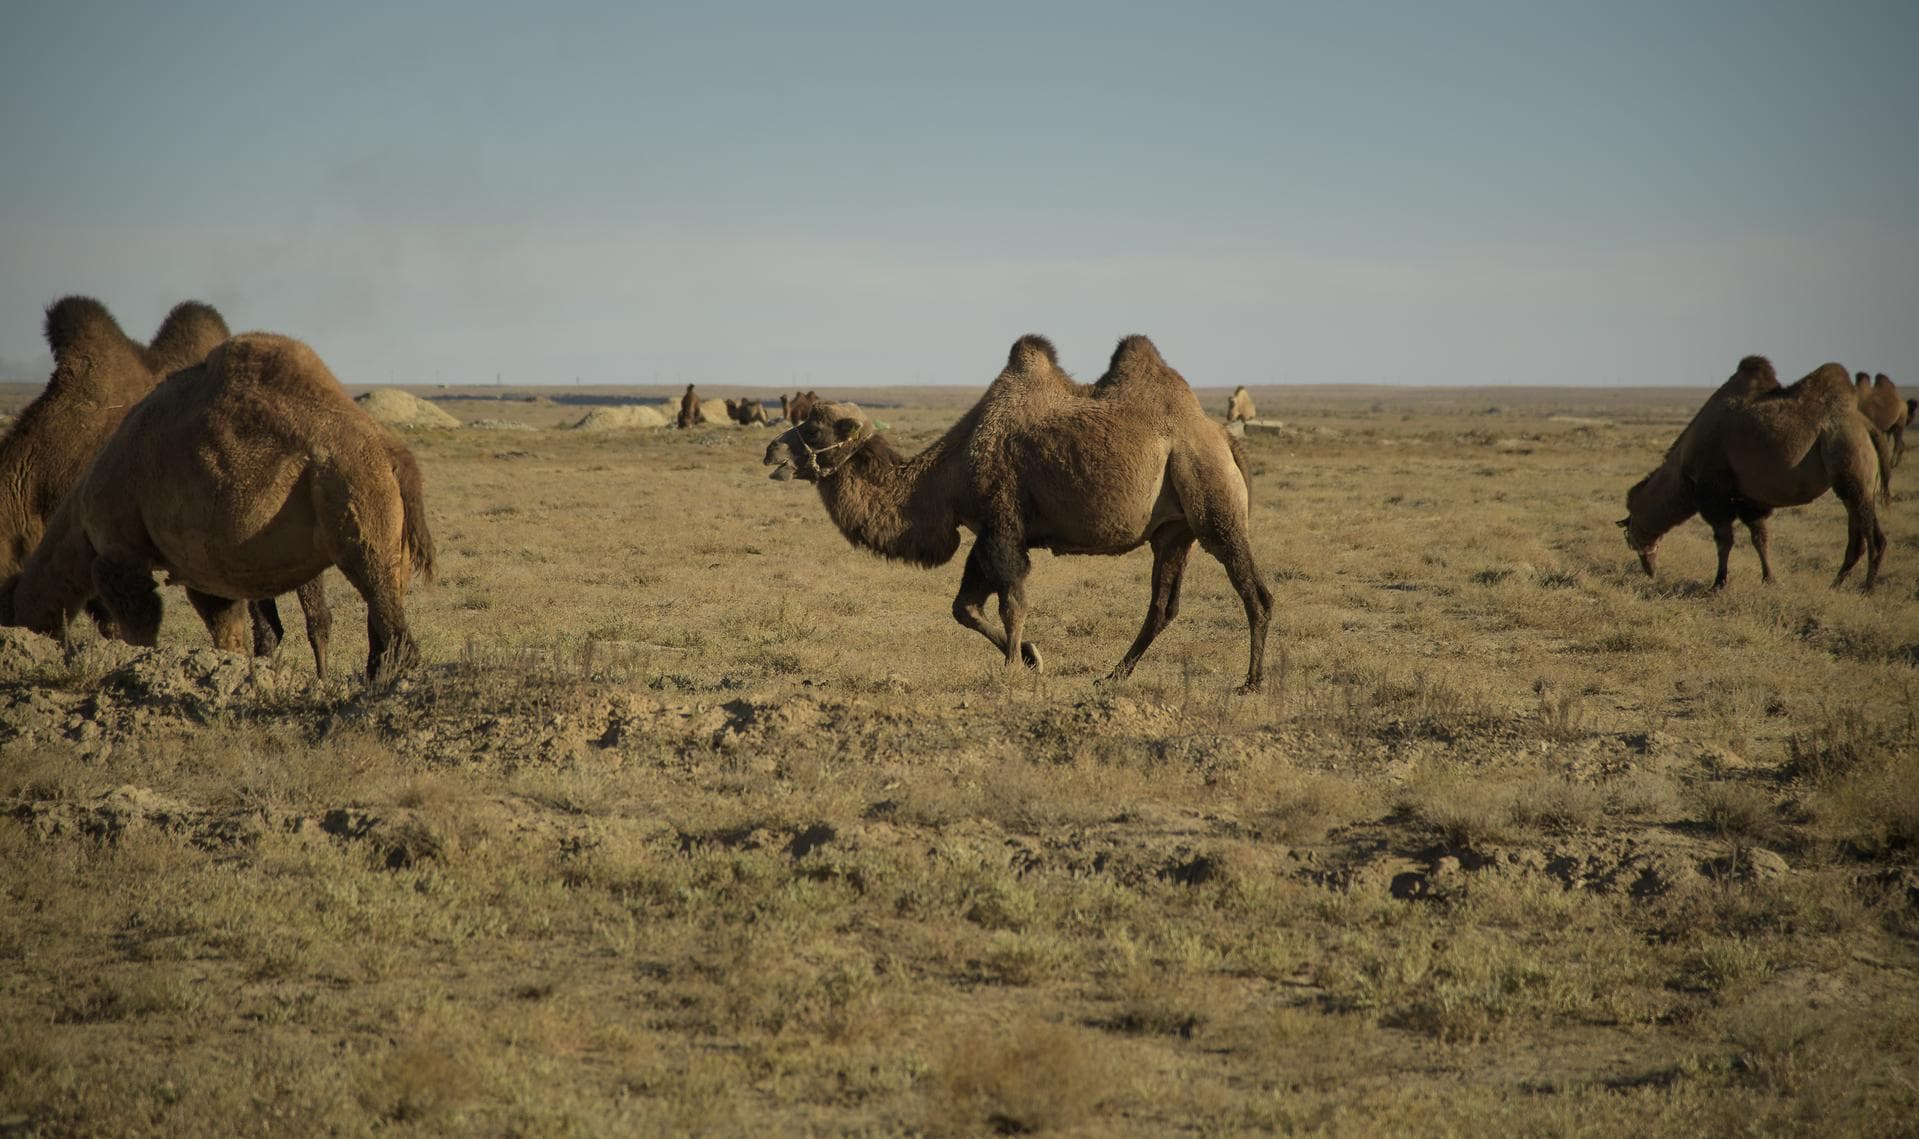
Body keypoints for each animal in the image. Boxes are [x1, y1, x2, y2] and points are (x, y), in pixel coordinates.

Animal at [1, 333, 433, 682]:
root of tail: (393, 452)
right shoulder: (202, 569)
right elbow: (228, 630)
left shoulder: (120, 552)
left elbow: (141, 625)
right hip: (388, 532)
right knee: (381, 616)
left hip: (354, 497)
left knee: (386, 613)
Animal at [763, 334, 1273, 691]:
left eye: (812, 428)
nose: (771, 451)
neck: (948, 473)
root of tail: (1224, 438)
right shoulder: (986, 530)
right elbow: (964, 607)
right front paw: (1030, 656)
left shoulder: (1003, 522)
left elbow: (1012, 601)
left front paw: (1012, 667)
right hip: (1173, 531)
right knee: (1162, 606)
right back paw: (1112, 676)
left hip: (1212, 502)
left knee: (1255, 592)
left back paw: (1250, 683)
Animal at [1620, 356, 1889, 590]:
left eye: (1630, 539)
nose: (1649, 570)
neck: (1684, 471)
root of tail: (1867, 427)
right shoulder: (1749, 501)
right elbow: (1760, 539)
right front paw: (1770, 580)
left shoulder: (1715, 497)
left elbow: (1724, 541)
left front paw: (1719, 583)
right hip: (1856, 484)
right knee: (1856, 538)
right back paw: (1835, 585)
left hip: (1851, 465)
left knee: (1875, 538)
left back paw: (1867, 588)